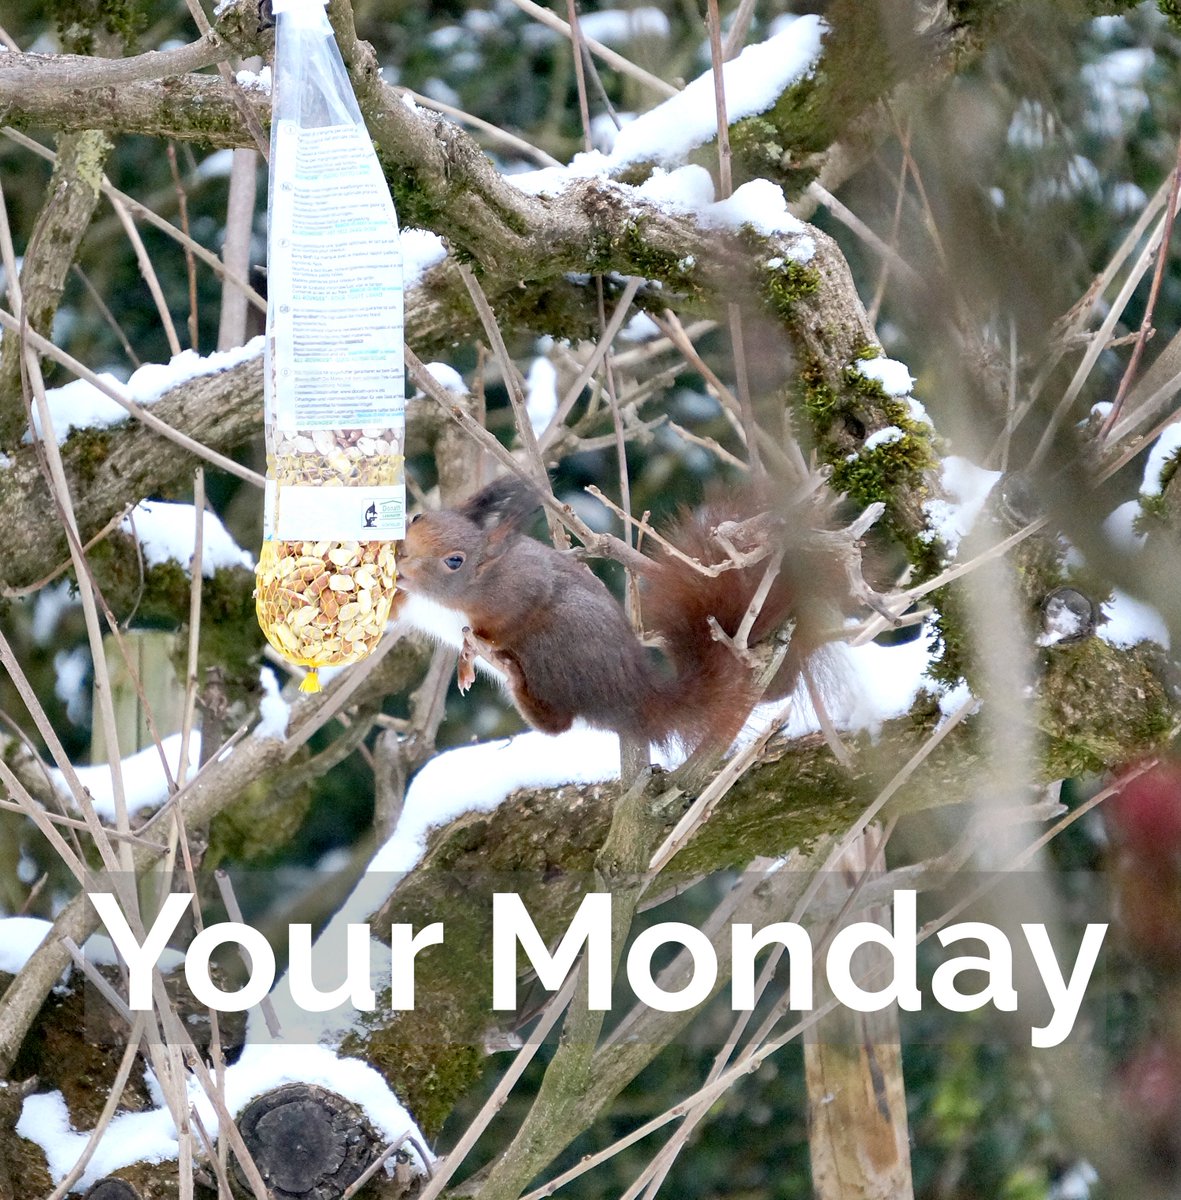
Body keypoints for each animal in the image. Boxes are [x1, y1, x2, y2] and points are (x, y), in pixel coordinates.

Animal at [392, 477, 842, 755]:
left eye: (454, 560)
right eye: (417, 518)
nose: (400, 558)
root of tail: (637, 694)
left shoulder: (520, 588)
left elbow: (510, 616)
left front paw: (476, 644)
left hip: (557, 648)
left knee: (559, 721)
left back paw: (516, 679)